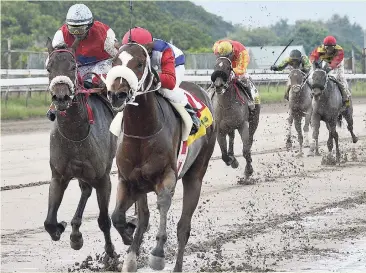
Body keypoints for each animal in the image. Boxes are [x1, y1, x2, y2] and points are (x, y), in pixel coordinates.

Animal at [43, 37, 118, 258]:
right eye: (49, 67)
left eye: (73, 65)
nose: (60, 97)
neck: (76, 135)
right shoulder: (58, 176)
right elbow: (49, 222)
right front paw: (63, 228)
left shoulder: (103, 178)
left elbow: (104, 220)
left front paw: (111, 253)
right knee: (85, 189)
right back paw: (75, 231)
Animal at [103, 42, 217, 270]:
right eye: (115, 62)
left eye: (139, 63)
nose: (117, 95)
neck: (142, 131)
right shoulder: (128, 180)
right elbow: (118, 216)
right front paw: (129, 238)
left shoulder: (167, 176)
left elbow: (163, 202)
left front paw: (157, 253)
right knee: (145, 217)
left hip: (196, 174)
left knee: (184, 227)